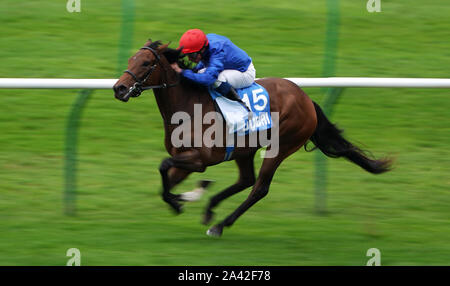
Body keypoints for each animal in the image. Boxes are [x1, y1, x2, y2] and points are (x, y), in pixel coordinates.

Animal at [111, 39, 390, 237]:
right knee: (246, 179)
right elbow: (166, 180)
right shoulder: (185, 159)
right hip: (244, 149)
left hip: (281, 146)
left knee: (259, 188)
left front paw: (183, 199)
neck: (188, 106)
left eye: (146, 63)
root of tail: (306, 99)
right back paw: (211, 209)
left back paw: (220, 225)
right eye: (131, 58)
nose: (119, 88)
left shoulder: (199, 160)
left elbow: (163, 166)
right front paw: (182, 199)